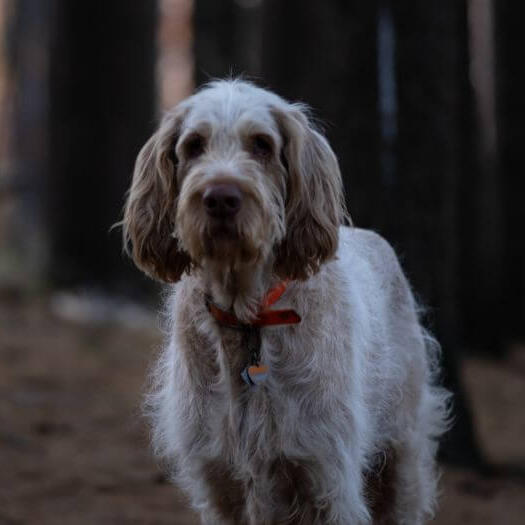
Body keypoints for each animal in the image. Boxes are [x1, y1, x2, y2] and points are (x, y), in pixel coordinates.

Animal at [123, 79, 450, 524]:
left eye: (261, 144)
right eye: (193, 145)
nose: (220, 198)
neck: (248, 319)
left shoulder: (326, 477)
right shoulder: (220, 483)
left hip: (401, 462)